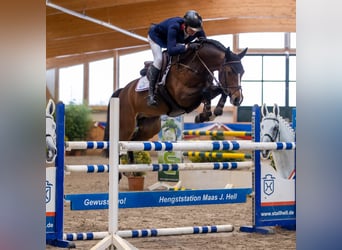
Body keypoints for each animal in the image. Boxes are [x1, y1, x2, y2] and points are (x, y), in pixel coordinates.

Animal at [103, 38, 246, 164]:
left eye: (243, 72)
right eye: (229, 71)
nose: (238, 99)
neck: (194, 66)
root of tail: (122, 91)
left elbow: (220, 91)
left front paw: (211, 113)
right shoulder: (182, 97)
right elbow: (206, 91)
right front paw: (205, 115)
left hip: (150, 127)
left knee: (133, 142)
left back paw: (132, 167)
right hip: (126, 125)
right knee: (121, 142)